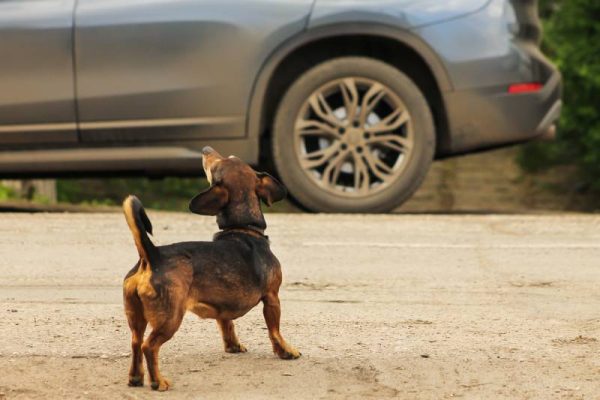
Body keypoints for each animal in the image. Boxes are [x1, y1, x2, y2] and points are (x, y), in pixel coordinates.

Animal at [122, 146, 300, 390]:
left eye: (229, 159)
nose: (206, 150)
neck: (242, 227)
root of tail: (152, 256)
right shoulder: (272, 297)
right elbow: (275, 331)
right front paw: (286, 351)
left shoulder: (223, 306)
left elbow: (228, 326)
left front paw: (233, 346)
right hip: (170, 318)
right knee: (149, 347)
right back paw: (158, 381)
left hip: (136, 318)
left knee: (135, 343)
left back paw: (136, 377)